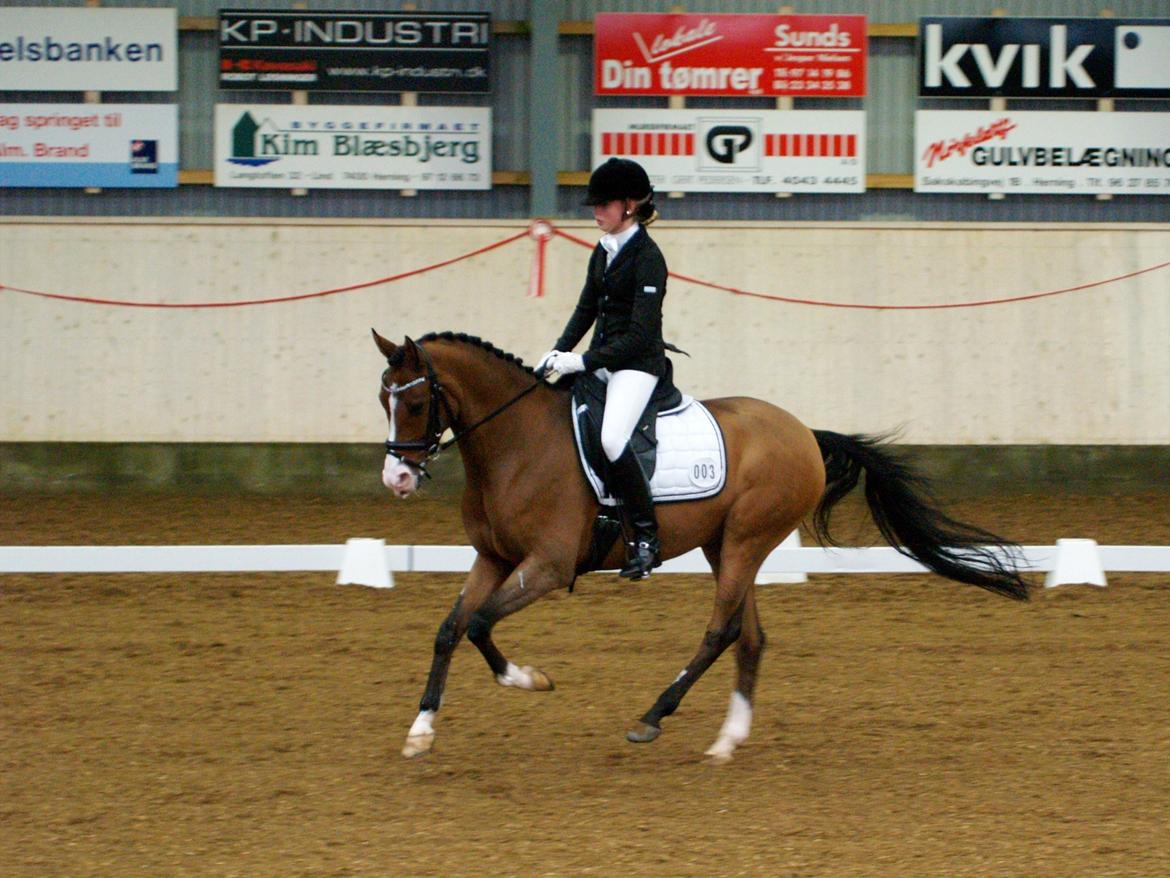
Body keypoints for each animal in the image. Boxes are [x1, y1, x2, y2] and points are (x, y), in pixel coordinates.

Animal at [373, 330, 1028, 762]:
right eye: (384, 399)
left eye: (416, 401)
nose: (398, 478)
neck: (516, 445)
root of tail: (802, 433)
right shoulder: (494, 559)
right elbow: (451, 628)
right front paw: (420, 730)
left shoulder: (548, 567)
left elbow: (482, 623)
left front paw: (530, 680)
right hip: (726, 545)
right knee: (750, 635)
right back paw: (727, 739)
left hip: (744, 540)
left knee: (721, 630)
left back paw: (651, 719)